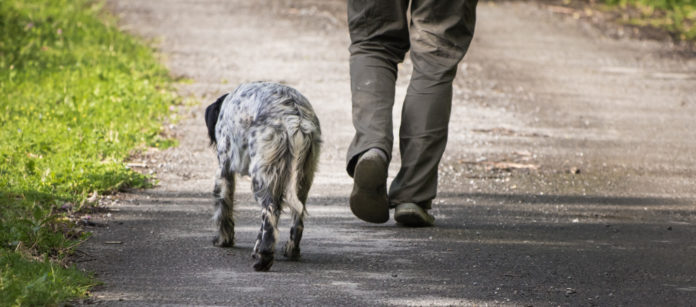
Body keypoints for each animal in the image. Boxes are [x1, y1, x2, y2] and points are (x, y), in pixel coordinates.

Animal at [203, 82, 320, 272]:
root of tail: (296, 118)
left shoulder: (224, 171)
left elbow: (223, 209)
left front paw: (223, 240)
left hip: (262, 178)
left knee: (270, 215)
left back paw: (263, 258)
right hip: (303, 179)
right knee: (297, 220)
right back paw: (290, 250)